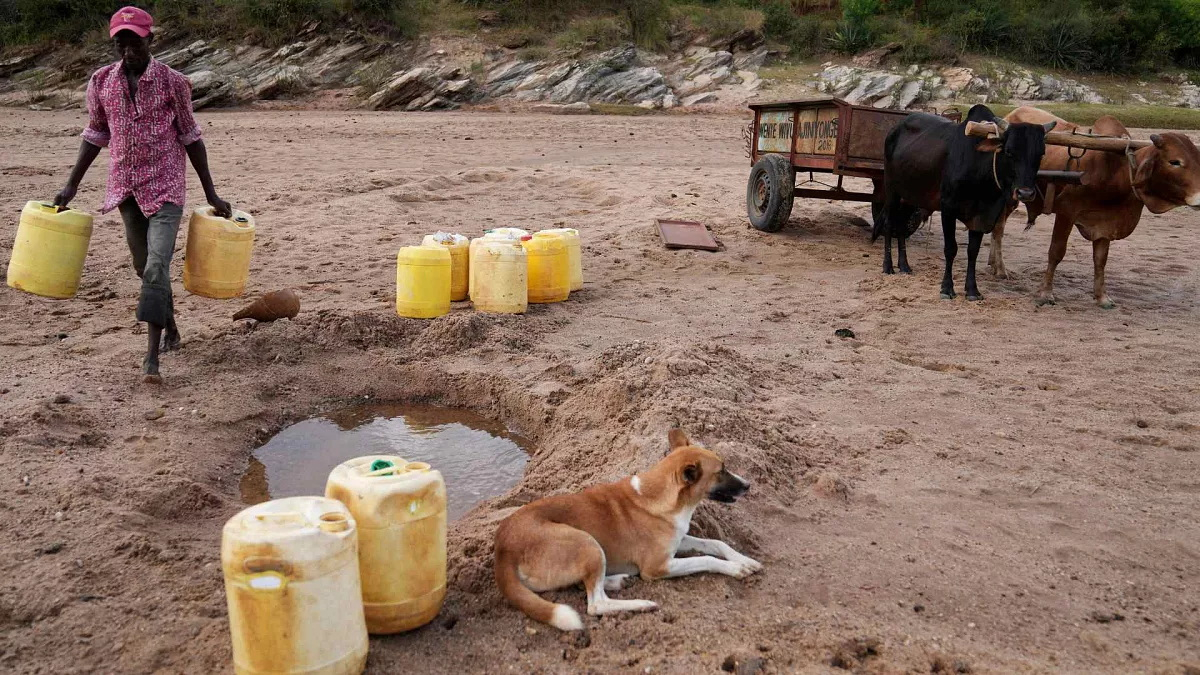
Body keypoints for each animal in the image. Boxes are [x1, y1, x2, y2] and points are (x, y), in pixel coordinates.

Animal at [489, 427, 758, 629]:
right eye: (721, 470)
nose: (748, 485)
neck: (661, 496)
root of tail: (503, 546)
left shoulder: (679, 539)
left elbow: (715, 543)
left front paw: (745, 559)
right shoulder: (657, 567)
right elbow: (705, 559)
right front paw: (736, 568)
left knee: (585, 586)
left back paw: (618, 581)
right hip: (587, 543)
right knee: (596, 604)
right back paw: (640, 604)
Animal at [873, 103, 1060, 299]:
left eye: (1041, 154)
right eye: (1009, 151)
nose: (1025, 193)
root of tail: (895, 128)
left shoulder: (982, 215)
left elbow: (973, 251)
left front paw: (972, 289)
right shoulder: (948, 209)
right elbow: (951, 248)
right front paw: (947, 288)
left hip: (910, 197)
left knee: (901, 226)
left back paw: (904, 266)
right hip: (891, 190)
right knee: (889, 224)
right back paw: (888, 266)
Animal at [988, 105, 1200, 307]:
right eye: (1175, 162)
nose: (1199, 197)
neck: (1115, 171)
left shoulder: (1105, 223)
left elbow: (1100, 260)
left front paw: (1102, 297)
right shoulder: (1066, 211)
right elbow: (1056, 252)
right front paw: (1045, 294)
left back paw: (993, 264)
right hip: (1010, 197)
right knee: (999, 229)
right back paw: (1001, 269)